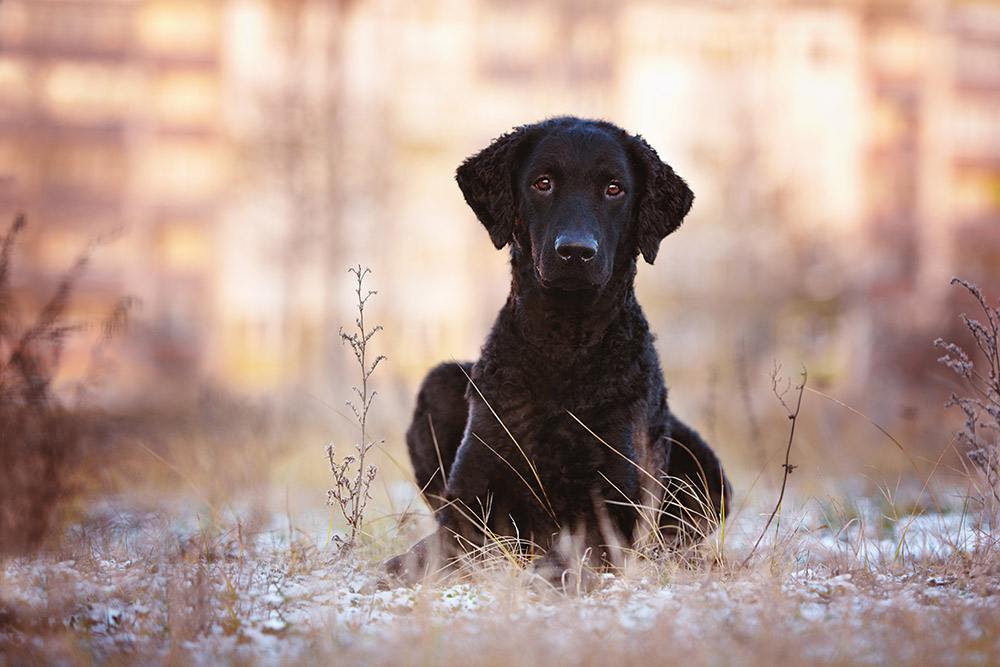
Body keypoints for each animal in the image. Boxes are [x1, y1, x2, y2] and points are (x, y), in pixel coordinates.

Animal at [386, 117, 732, 588]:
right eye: (543, 183)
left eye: (614, 188)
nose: (575, 252)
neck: (562, 349)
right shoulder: (467, 503)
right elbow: (420, 555)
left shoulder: (610, 510)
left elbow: (570, 556)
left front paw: (546, 578)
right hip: (441, 381)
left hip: (705, 469)